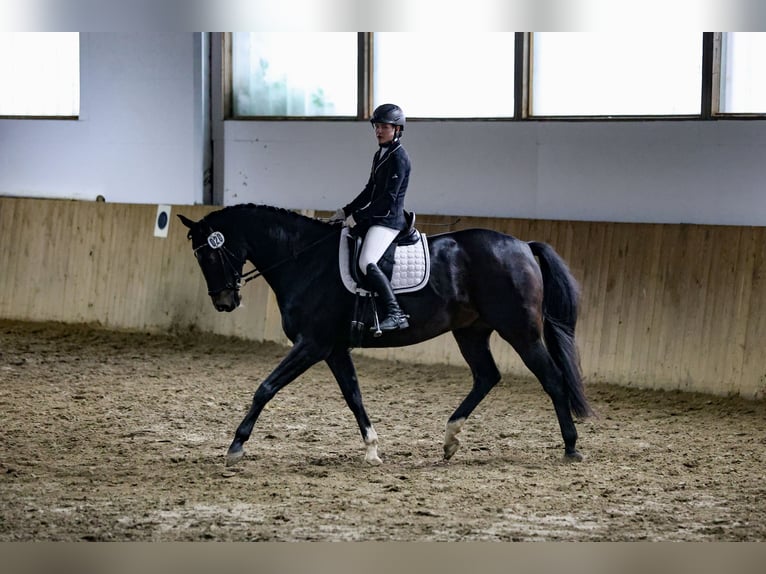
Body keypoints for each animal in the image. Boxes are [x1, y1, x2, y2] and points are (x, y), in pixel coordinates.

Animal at [182, 205, 592, 466]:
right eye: (199, 257)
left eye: (210, 254)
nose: (224, 302)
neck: (304, 260)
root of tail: (522, 246)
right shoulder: (334, 348)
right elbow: (354, 396)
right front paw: (372, 450)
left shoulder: (312, 344)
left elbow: (266, 387)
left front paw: (237, 444)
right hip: (471, 331)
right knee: (486, 376)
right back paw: (450, 439)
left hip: (520, 332)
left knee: (553, 380)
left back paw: (571, 447)